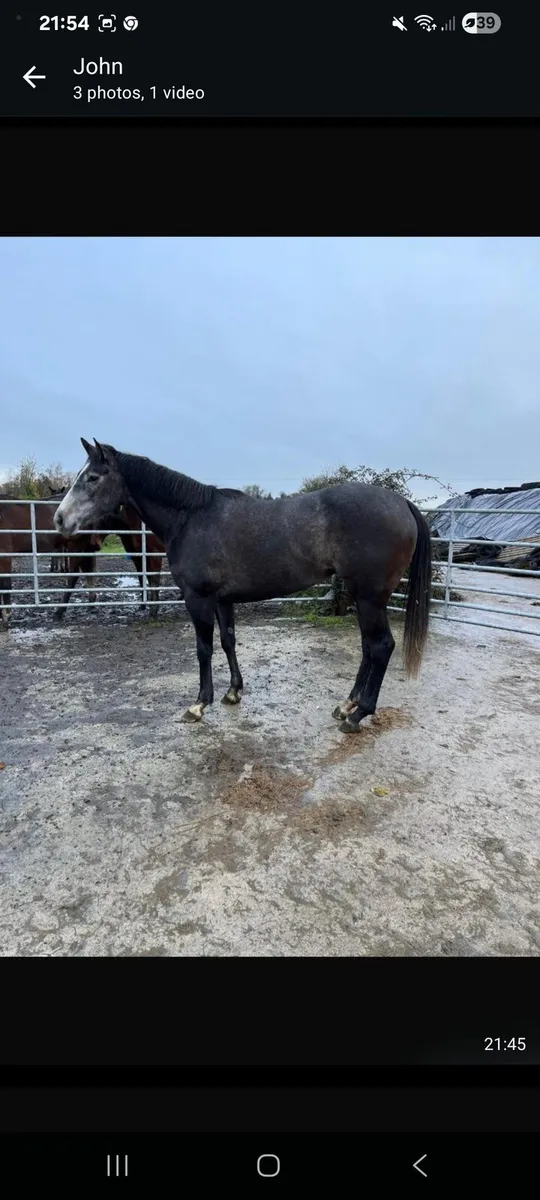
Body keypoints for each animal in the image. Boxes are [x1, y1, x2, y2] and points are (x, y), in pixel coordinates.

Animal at [54, 438, 432, 734]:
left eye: (92, 477)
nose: (59, 519)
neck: (191, 518)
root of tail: (402, 503)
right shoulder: (223, 600)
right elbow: (228, 642)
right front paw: (233, 692)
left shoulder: (198, 598)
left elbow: (203, 648)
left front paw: (199, 704)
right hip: (361, 597)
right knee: (368, 647)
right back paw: (347, 705)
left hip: (369, 597)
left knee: (381, 647)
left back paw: (358, 715)